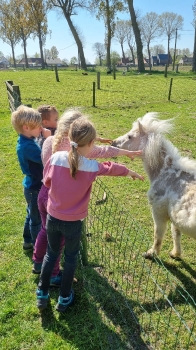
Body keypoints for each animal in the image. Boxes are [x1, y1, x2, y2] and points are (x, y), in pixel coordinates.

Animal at [112, 113, 196, 258]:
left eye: (130, 136)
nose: (113, 142)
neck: (165, 171)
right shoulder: (174, 217)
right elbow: (176, 234)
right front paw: (175, 253)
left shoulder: (158, 212)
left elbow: (158, 234)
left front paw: (152, 253)